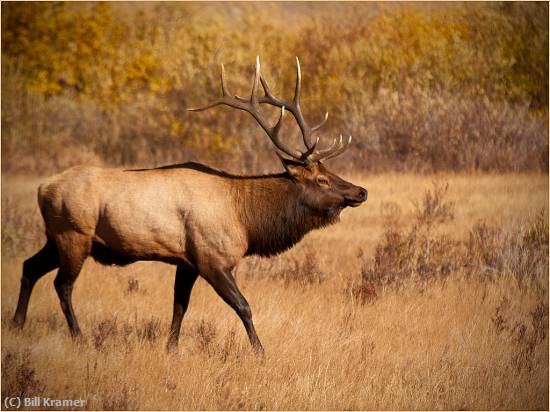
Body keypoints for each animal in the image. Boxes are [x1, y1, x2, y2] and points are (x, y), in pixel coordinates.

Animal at [12, 57, 368, 354]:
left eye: (330, 173)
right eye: (321, 180)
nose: (361, 191)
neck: (246, 220)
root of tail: (43, 188)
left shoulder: (187, 261)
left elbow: (179, 307)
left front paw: (171, 349)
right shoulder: (212, 258)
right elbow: (243, 306)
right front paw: (260, 352)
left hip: (55, 237)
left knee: (29, 266)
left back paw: (17, 325)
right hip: (74, 235)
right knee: (62, 284)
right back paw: (78, 336)